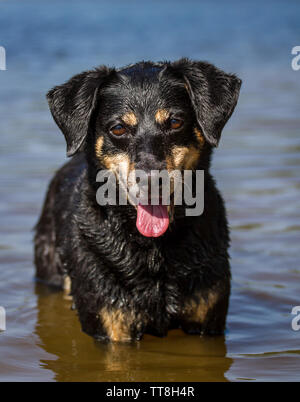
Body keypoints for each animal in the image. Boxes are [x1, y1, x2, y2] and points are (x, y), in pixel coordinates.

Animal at [34, 59, 241, 342]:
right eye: (118, 128)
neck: (153, 249)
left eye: (175, 122)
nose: (151, 179)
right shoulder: (110, 322)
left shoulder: (208, 320)